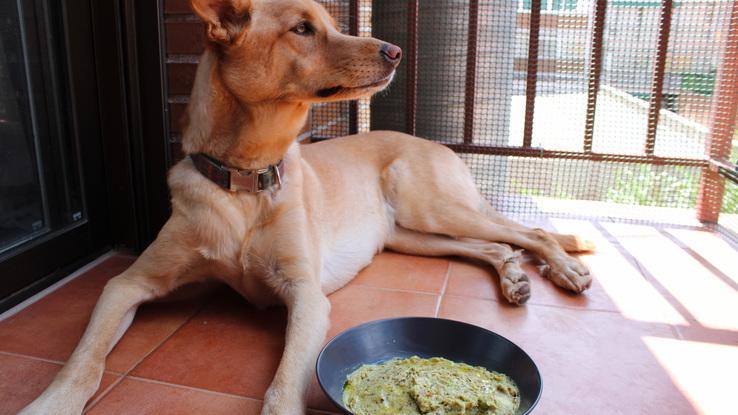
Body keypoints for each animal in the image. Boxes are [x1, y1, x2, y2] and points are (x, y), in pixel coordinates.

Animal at [18, 0, 592, 414]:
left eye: (331, 23)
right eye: (301, 28)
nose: (395, 51)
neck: (244, 182)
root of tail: (436, 144)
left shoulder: (306, 297)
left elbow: (281, 387)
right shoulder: (127, 284)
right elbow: (83, 360)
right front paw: (51, 404)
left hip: (429, 206)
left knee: (532, 233)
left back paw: (564, 270)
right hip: (412, 235)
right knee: (492, 245)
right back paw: (515, 276)